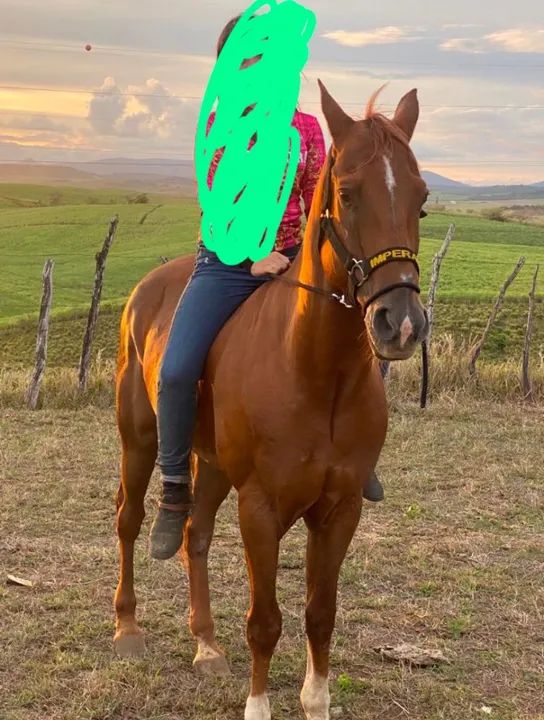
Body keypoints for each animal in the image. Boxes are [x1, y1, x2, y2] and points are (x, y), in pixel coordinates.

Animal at [113, 81, 429, 720]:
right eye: (348, 194)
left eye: (423, 200)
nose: (401, 324)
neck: (316, 373)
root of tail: (144, 290)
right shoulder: (259, 508)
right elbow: (264, 621)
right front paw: (258, 704)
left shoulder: (339, 510)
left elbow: (320, 614)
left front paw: (316, 699)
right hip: (139, 440)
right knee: (130, 520)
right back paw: (128, 628)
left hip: (210, 463)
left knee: (196, 535)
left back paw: (206, 645)